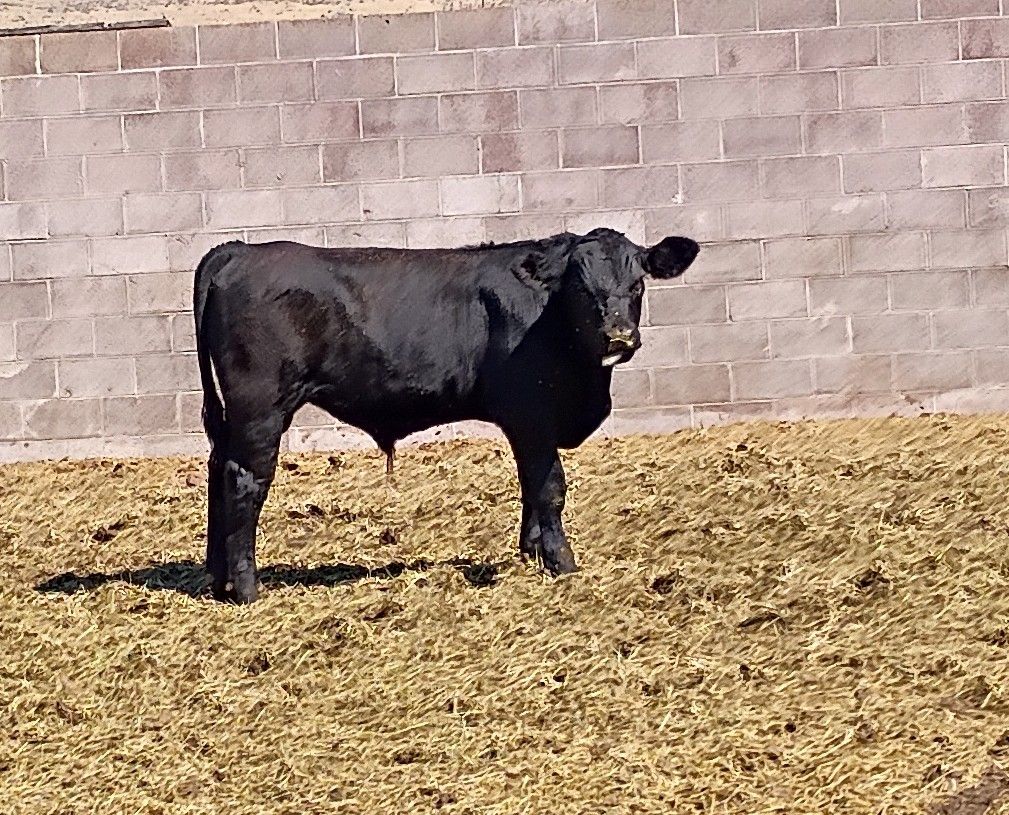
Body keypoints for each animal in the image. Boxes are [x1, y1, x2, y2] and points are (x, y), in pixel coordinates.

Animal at [193, 228, 700, 604]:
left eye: (637, 284)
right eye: (581, 286)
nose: (619, 335)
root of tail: (238, 250)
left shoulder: (530, 426)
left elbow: (530, 487)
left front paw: (531, 551)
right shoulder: (531, 416)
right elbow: (549, 487)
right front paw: (561, 561)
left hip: (233, 417)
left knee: (217, 469)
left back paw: (218, 579)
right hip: (261, 408)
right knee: (244, 480)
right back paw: (246, 587)